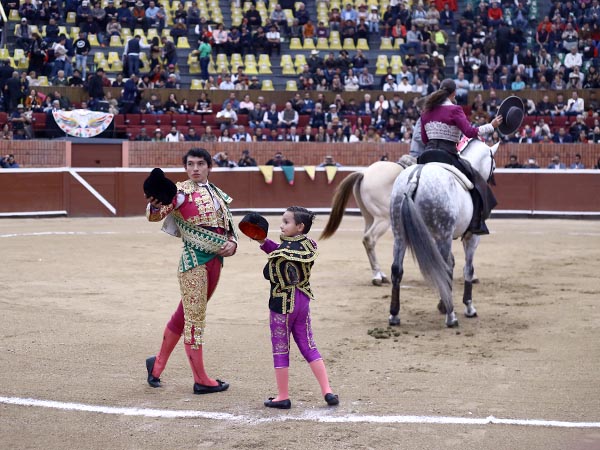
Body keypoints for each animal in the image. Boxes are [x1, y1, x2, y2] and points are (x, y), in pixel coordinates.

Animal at [390, 140, 496, 326]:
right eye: (494, 166)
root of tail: (415, 179)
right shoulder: (471, 237)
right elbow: (467, 268)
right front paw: (468, 307)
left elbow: (450, 264)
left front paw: (442, 304)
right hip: (443, 235)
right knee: (443, 268)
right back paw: (451, 317)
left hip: (399, 234)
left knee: (397, 269)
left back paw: (394, 315)